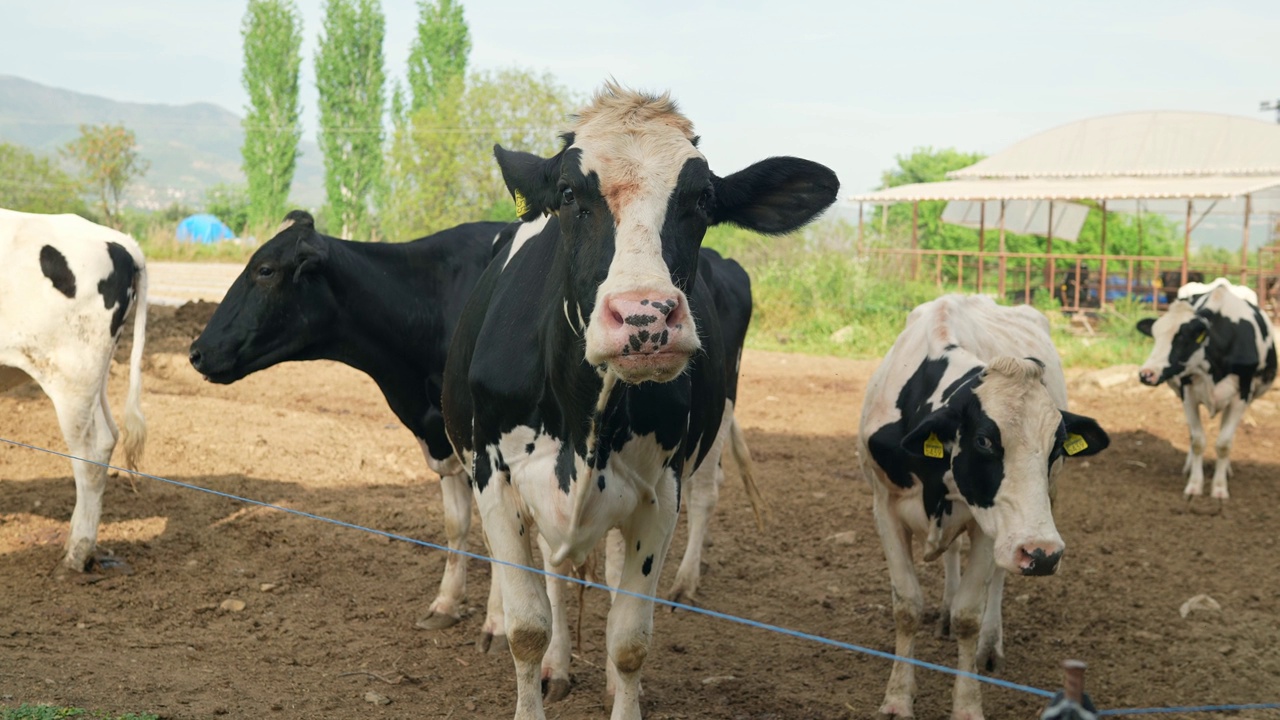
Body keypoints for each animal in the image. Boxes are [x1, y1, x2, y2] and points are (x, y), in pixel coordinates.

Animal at [0, 207, 147, 571]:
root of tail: (122, 242)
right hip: (95, 376)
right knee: (109, 436)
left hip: (71, 377)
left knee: (91, 455)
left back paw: (77, 553)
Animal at [440, 81, 839, 712]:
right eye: (569, 194)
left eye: (703, 199)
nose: (644, 318)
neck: (587, 415)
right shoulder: (495, 480)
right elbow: (528, 627)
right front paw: (539, 670)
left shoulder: (659, 496)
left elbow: (629, 639)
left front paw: (620, 683)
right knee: (557, 574)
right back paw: (558, 665)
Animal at [860, 293, 1111, 717]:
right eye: (983, 441)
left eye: (1058, 445)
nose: (1044, 554)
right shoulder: (885, 507)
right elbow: (907, 606)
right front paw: (897, 698)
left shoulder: (990, 527)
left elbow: (969, 615)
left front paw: (966, 705)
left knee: (997, 579)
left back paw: (990, 645)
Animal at [1136, 274, 1274, 499]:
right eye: (1155, 336)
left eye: (1183, 338)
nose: (1146, 374)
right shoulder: (1187, 393)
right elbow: (1198, 441)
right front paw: (1194, 484)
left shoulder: (1242, 396)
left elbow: (1224, 444)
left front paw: (1219, 488)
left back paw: (1226, 469)